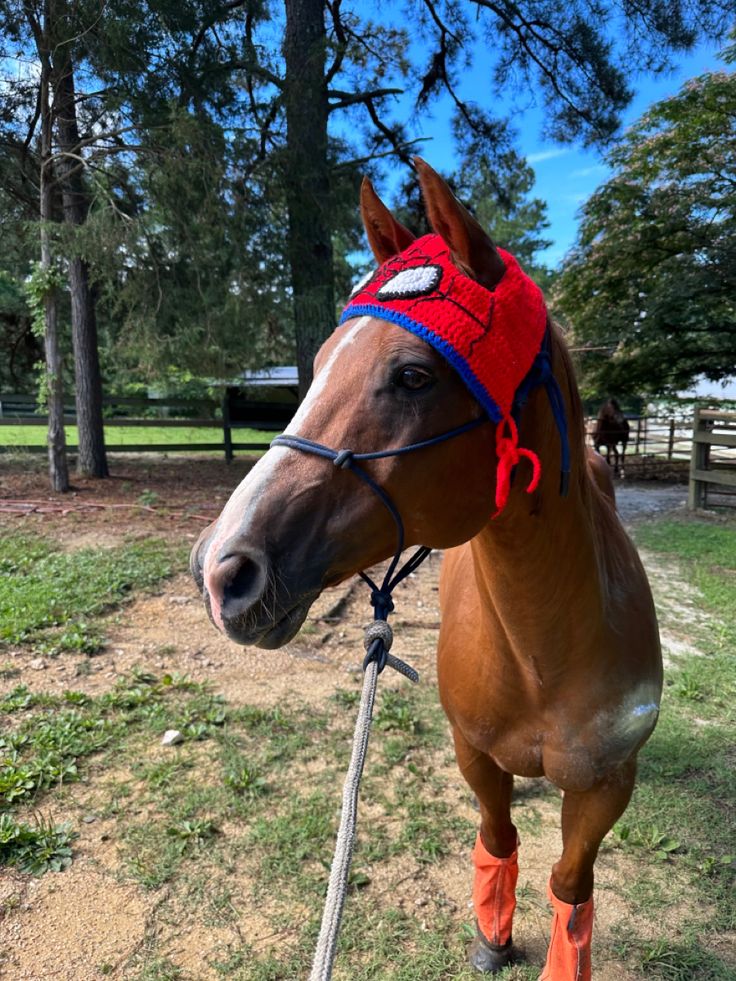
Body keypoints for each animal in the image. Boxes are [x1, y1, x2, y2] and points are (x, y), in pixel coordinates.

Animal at [190, 157, 660, 976]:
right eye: (319, 365)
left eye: (414, 375)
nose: (221, 568)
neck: (547, 650)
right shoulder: (473, 752)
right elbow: (498, 837)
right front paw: (492, 935)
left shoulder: (607, 785)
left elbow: (572, 885)